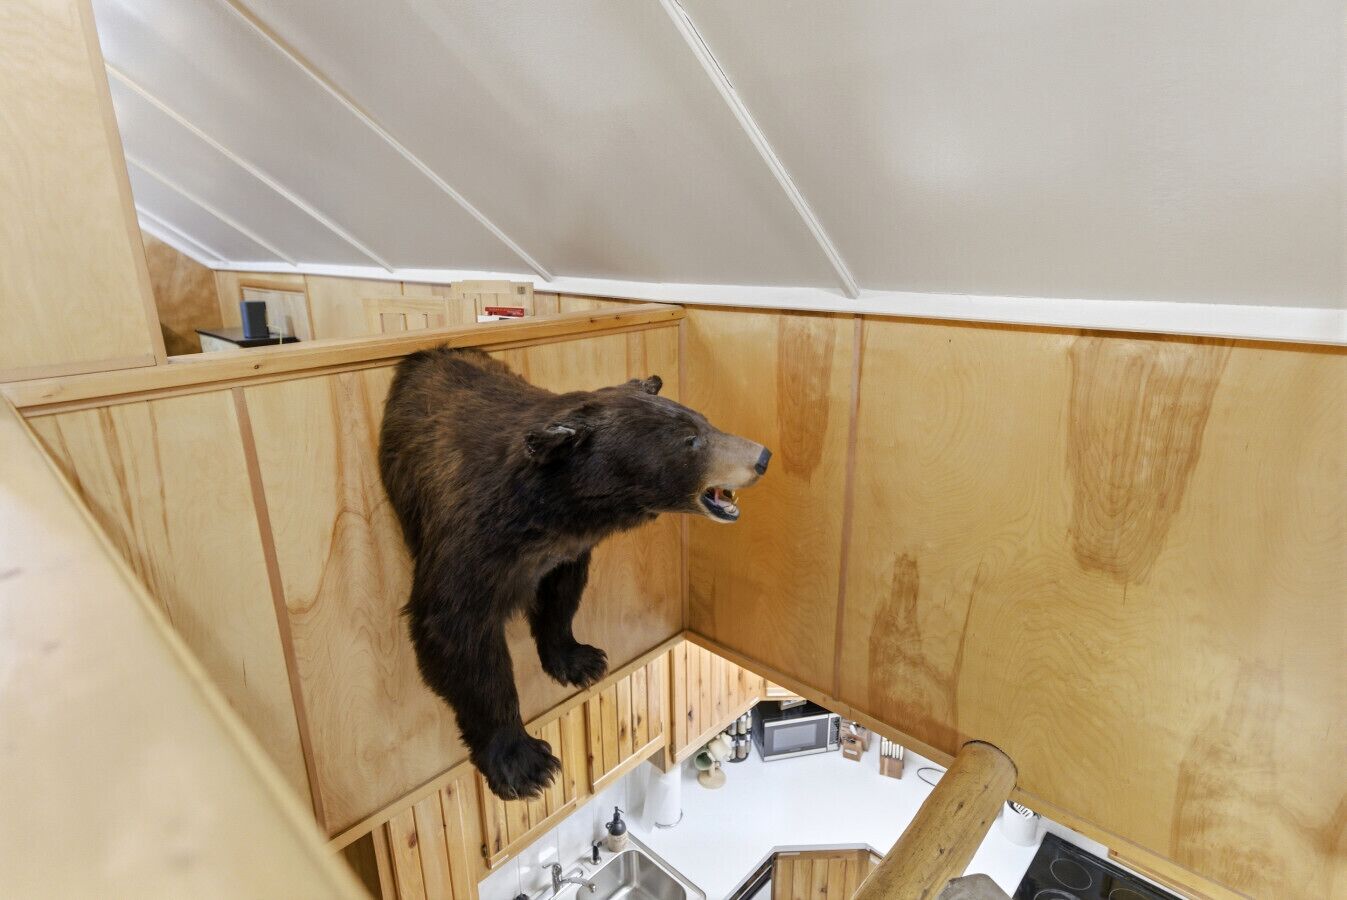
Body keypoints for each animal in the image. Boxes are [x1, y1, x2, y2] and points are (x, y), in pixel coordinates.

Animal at [379, 347, 770, 799]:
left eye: (703, 420)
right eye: (690, 440)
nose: (762, 457)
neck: (549, 513)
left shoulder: (564, 550)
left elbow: (561, 595)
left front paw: (580, 659)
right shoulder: (469, 547)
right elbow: (459, 635)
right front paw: (524, 763)